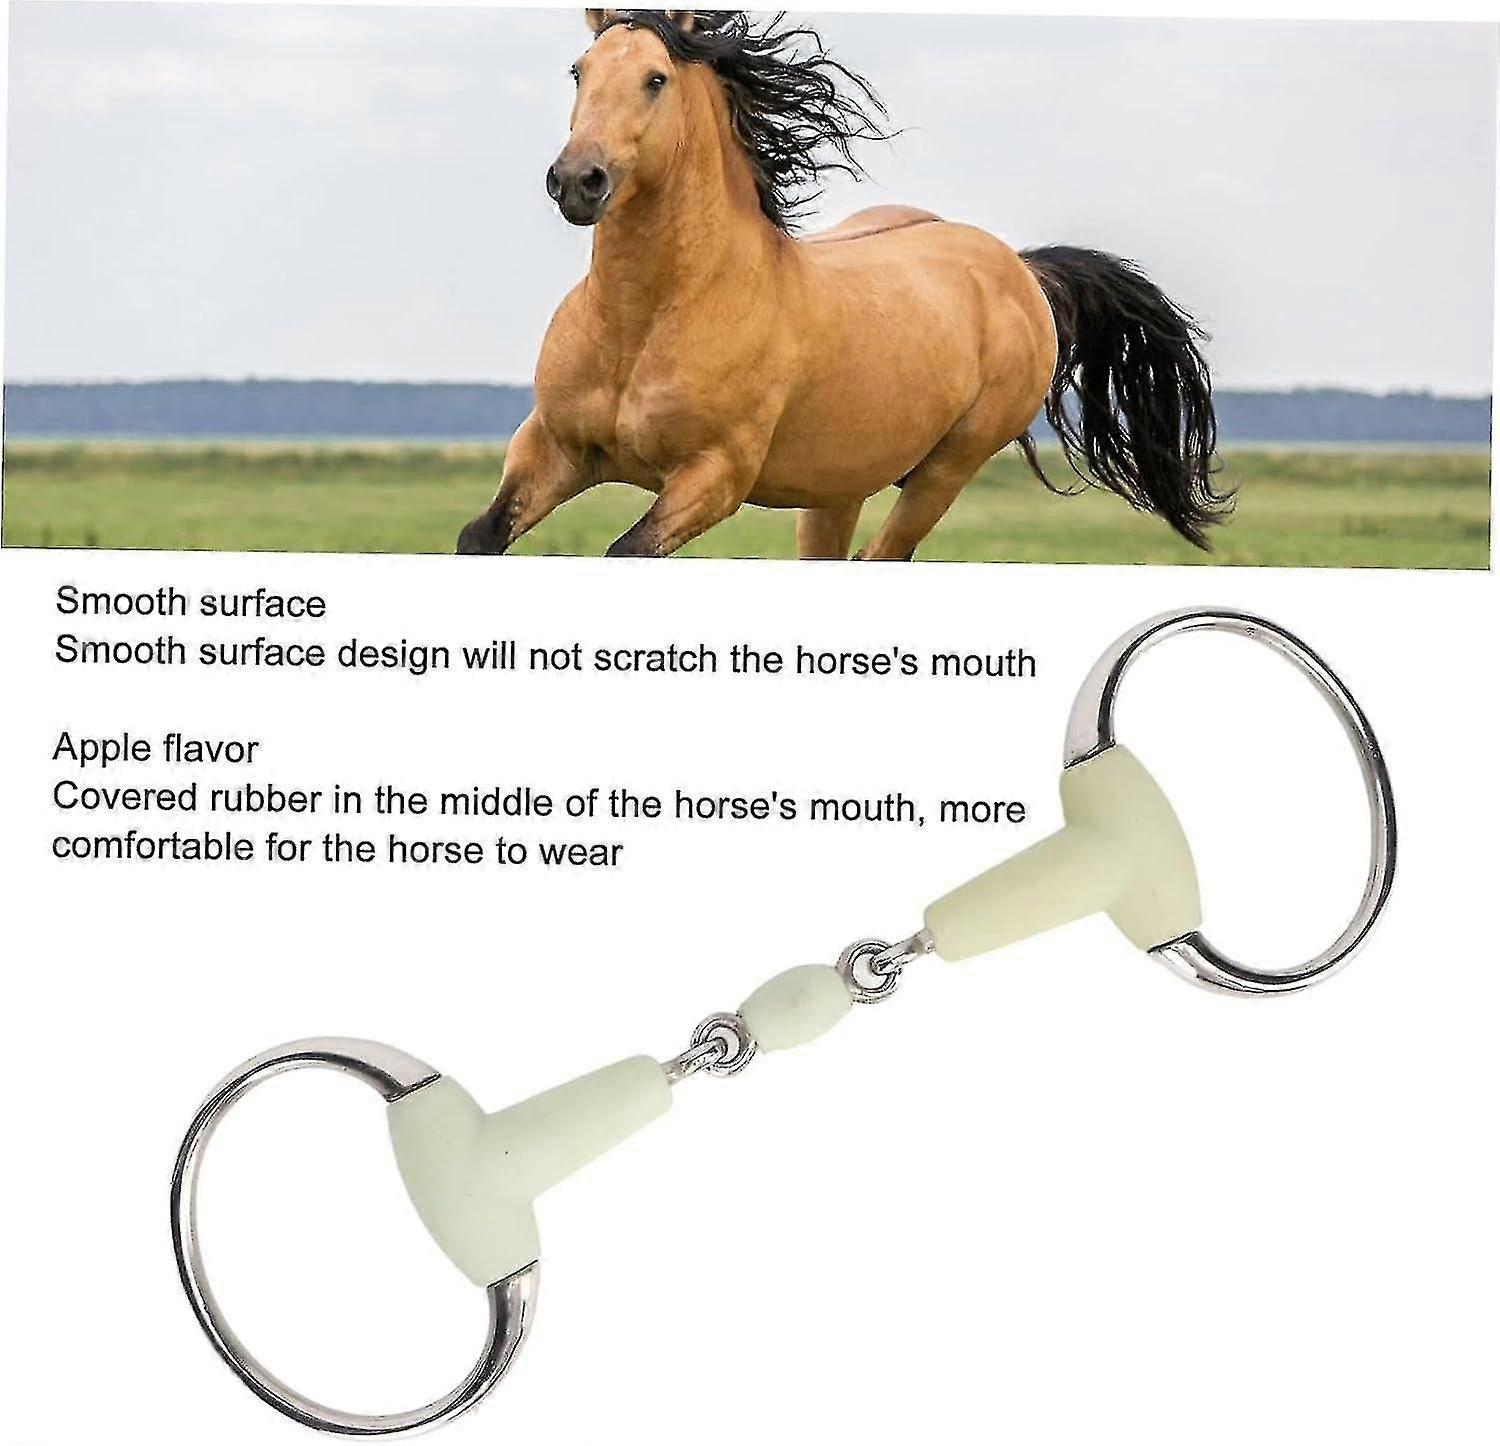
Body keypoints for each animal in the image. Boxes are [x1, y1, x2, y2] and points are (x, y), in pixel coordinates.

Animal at [456, 9, 1229, 561]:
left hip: (946, 470)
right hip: (836, 488)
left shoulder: (713, 477)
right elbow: (479, 537)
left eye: (655, 79)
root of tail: (1018, 268)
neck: (647, 319)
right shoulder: (552, 449)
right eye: (579, 71)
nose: (577, 180)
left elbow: (626, 551)